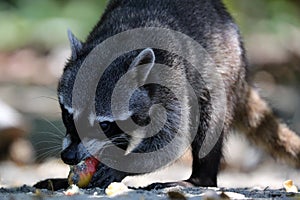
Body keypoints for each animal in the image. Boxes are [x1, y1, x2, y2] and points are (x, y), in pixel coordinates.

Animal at [52, 0, 300, 189]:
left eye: (103, 124)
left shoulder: (171, 79)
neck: (116, 44)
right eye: (67, 114)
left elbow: (172, 140)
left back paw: (201, 178)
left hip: (223, 72)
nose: (68, 157)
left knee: (209, 123)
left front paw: (119, 166)